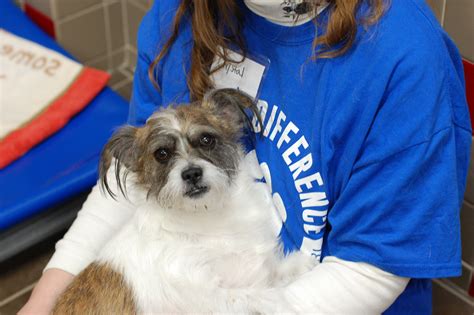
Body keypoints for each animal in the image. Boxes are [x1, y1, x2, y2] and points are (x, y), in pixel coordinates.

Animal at [51, 89, 314, 315]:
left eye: (207, 139)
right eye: (161, 154)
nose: (191, 173)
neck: (208, 219)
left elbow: (275, 272)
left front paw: (301, 265)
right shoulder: (211, 299)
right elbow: (258, 295)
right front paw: (283, 301)